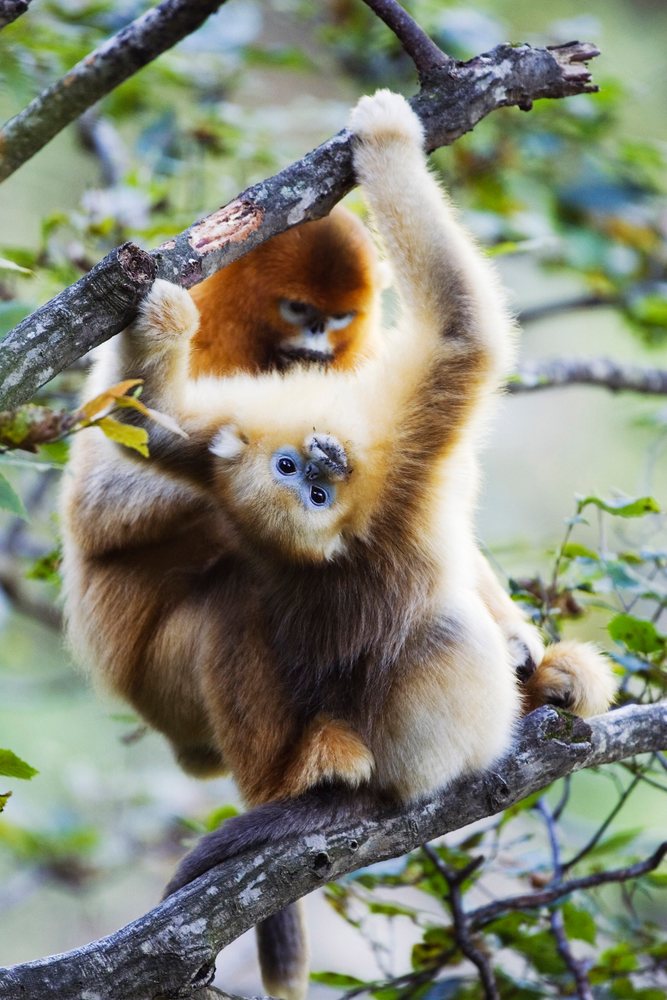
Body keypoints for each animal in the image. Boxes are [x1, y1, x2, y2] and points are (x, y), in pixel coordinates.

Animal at [60, 91, 616, 1000]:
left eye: (340, 318)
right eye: (298, 311)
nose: (317, 352)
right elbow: (104, 508)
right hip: (170, 693)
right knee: (230, 596)